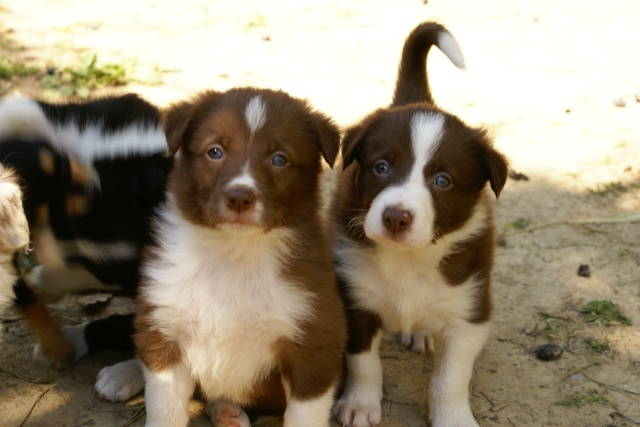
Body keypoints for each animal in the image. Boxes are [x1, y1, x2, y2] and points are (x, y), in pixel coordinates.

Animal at [132, 88, 348, 427]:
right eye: (215, 152)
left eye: (279, 159)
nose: (239, 198)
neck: (234, 253)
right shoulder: (163, 332)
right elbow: (164, 409)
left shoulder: (315, 342)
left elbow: (305, 415)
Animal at [330, 21, 510, 426]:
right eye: (381, 167)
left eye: (443, 180)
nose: (396, 217)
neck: (408, 258)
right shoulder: (354, 299)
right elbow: (364, 362)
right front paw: (359, 405)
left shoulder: (470, 311)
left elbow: (451, 378)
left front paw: (454, 418)